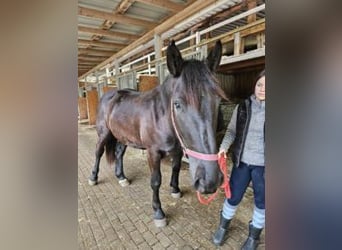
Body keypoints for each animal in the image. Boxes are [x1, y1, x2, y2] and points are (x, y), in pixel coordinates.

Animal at [88, 40, 227, 227]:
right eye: (177, 104)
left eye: (218, 101)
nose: (210, 181)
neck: (162, 118)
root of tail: (109, 95)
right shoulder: (152, 153)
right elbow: (155, 181)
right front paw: (158, 212)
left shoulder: (177, 150)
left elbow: (176, 168)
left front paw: (175, 189)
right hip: (103, 134)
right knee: (98, 152)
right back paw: (93, 178)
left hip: (124, 137)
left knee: (118, 154)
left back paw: (121, 177)